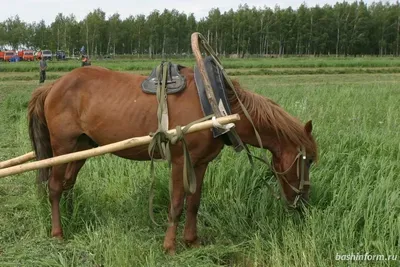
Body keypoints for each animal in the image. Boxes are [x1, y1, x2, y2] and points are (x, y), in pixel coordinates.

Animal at [26, 65, 318, 255]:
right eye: (309, 160)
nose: (303, 202)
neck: (215, 106)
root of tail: (53, 85)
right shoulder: (179, 162)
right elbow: (177, 204)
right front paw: (169, 246)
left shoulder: (200, 163)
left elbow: (194, 203)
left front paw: (192, 241)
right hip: (63, 147)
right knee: (55, 187)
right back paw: (58, 232)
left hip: (83, 147)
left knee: (68, 183)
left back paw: (71, 216)